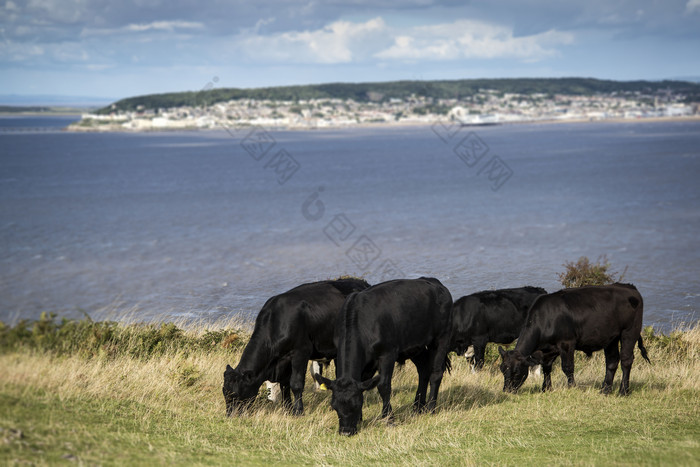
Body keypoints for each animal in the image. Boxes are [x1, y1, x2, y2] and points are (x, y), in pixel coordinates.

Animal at [224, 278, 370, 416]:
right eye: (225, 393)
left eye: (236, 393)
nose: (230, 415)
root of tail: (361, 283)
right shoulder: (284, 360)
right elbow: (284, 384)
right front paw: (287, 409)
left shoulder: (301, 352)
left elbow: (296, 384)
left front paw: (298, 411)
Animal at [314, 276, 454, 436]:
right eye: (334, 406)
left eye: (356, 405)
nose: (346, 432)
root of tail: (435, 282)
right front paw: (361, 419)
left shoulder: (387, 354)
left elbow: (383, 386)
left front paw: (389, 419)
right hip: (415, 345)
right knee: (423, 370)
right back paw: (418, 407)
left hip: (442, 337)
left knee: (436, 373)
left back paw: (431, 408)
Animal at [498, 284, 652, 396]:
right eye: (502, 369)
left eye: (517, 371)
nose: (507, 391)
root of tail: (629, 287)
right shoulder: (547, 350)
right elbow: (547, 368)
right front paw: (546, 388)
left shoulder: (567, 343)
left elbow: (567, 367)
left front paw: (572, 387)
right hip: (611, 338)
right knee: (612, 361)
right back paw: (605, 390)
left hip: (629, 331)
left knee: (626, 360)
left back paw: (623, 391)